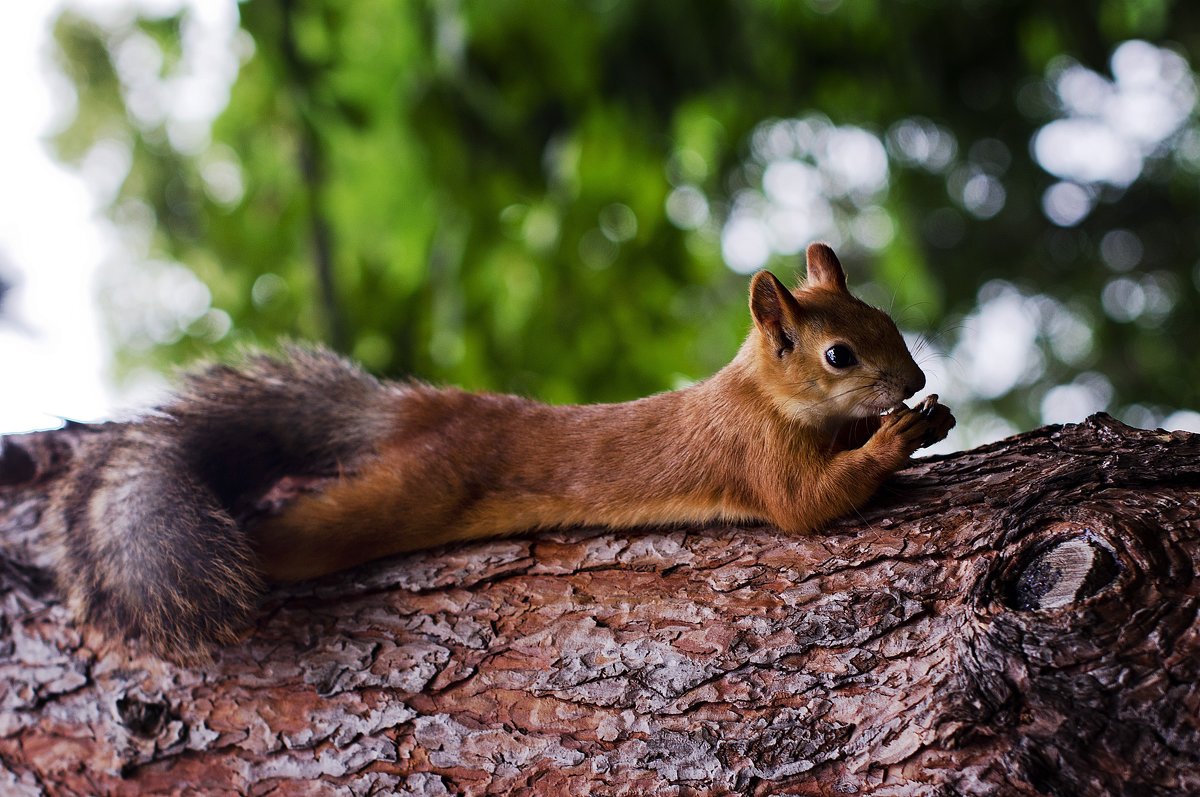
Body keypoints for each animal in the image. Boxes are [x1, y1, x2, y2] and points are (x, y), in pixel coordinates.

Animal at [44, 241, 955, 657]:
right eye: (839, 353)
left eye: (885, 317)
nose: (912, 376)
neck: (762, 392)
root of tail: (419, 414)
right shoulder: (754, 450)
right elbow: (806, 506)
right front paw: (893, 437)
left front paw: (920, 418)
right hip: (397, 496)